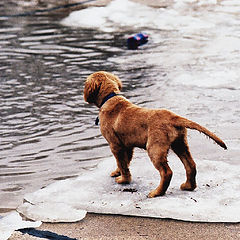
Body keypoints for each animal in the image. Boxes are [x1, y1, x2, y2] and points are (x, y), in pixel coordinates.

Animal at [83, 71, 227, 197]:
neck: (110, 98)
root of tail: (173, 117)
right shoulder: (127, 145)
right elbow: (124, 162)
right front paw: (117, 173)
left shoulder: (115, 144)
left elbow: (122, 163)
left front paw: (124, 180)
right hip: (179, 143)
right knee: (190, 165)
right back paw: (188, 186)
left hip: (154, 147)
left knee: (167, 172)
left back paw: (156, 193)